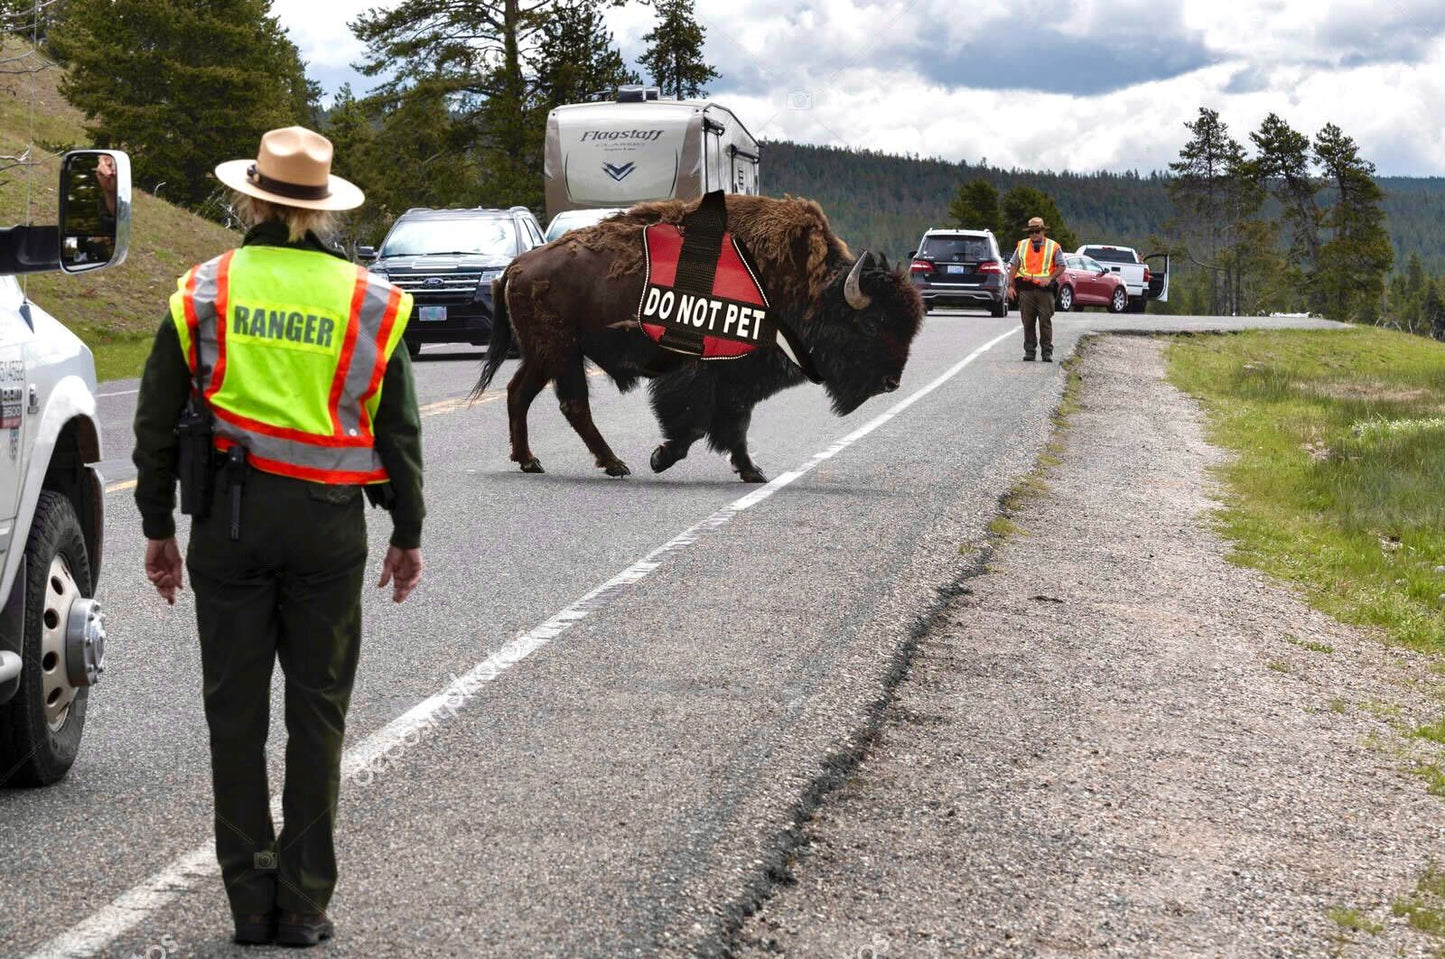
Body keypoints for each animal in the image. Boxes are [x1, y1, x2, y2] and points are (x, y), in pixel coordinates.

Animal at [473, 192, 924, 482]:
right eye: (872, 324)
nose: (891, 383)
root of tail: (518, 265)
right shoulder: (708, 371)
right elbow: (696, 419)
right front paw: (661, 458)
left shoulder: (741, 378)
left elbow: (734, 422)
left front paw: (752, 472)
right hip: (562, 353)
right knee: (571, 404)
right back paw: (615, 465)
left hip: (545, 355)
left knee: (520, 394)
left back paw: (531, 461)